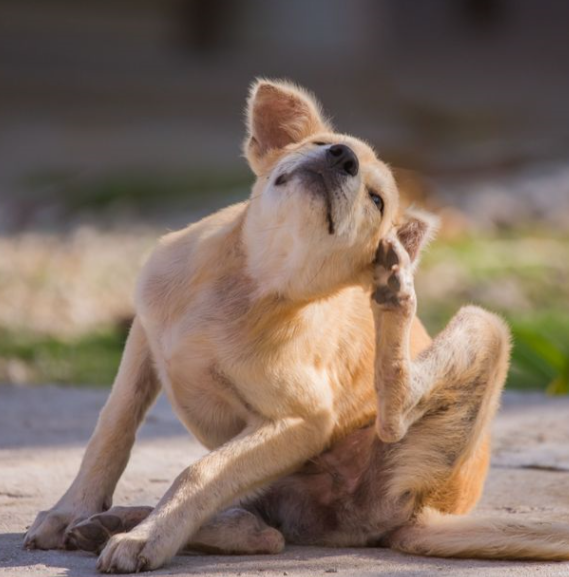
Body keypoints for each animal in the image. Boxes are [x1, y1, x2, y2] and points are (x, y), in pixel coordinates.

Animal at [24, 81, 568, 572]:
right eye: (320, 143)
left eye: (376, 200)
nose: (341, 157)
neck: (251, 281)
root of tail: (424, 513)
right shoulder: (143, 337)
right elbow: (111, 429)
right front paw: (71, 511)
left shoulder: (302, 420)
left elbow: (199, 472)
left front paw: (148, 538)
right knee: (261, 529)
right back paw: (112, 523)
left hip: (482, 330)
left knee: (381, 424)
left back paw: (394, 295)